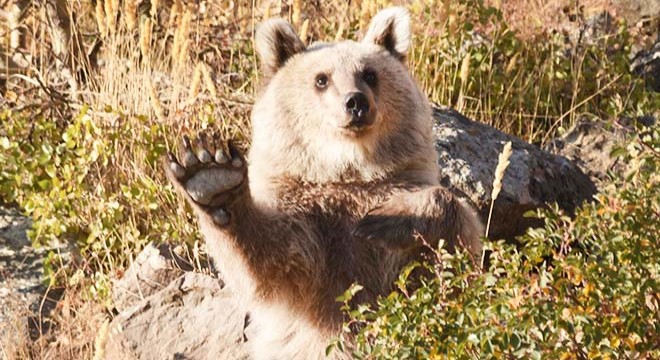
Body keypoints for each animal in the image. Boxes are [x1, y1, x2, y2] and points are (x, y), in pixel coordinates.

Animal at [164, 6, 484, 360]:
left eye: (369, 74)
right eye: (321, 78)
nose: (356, 102)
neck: (348, 170)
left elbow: (458, 244)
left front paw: (388, 219)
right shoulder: (313, 233)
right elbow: (267, 261)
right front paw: (211, 176)